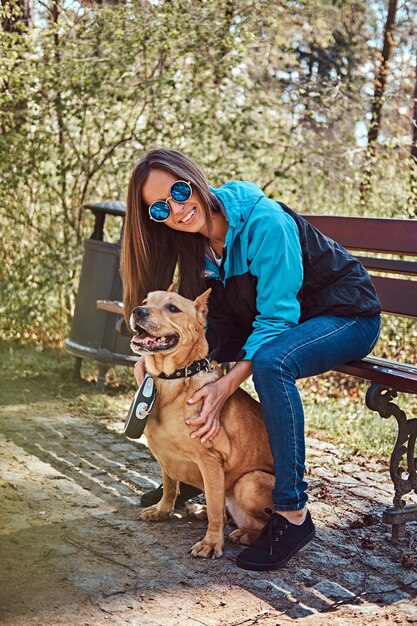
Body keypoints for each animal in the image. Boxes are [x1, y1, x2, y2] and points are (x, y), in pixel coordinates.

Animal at [129, 288, 272, 556]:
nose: (137, 311)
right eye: (145, 301)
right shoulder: (165, 455)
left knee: (258, 523)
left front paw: (211, 542)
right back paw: (201, 510)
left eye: (172, 308)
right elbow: (170, 486)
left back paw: (245, 534)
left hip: (249, 481)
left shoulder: (210, 461)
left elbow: (216, 509)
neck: (173, 380)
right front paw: (162, 511)